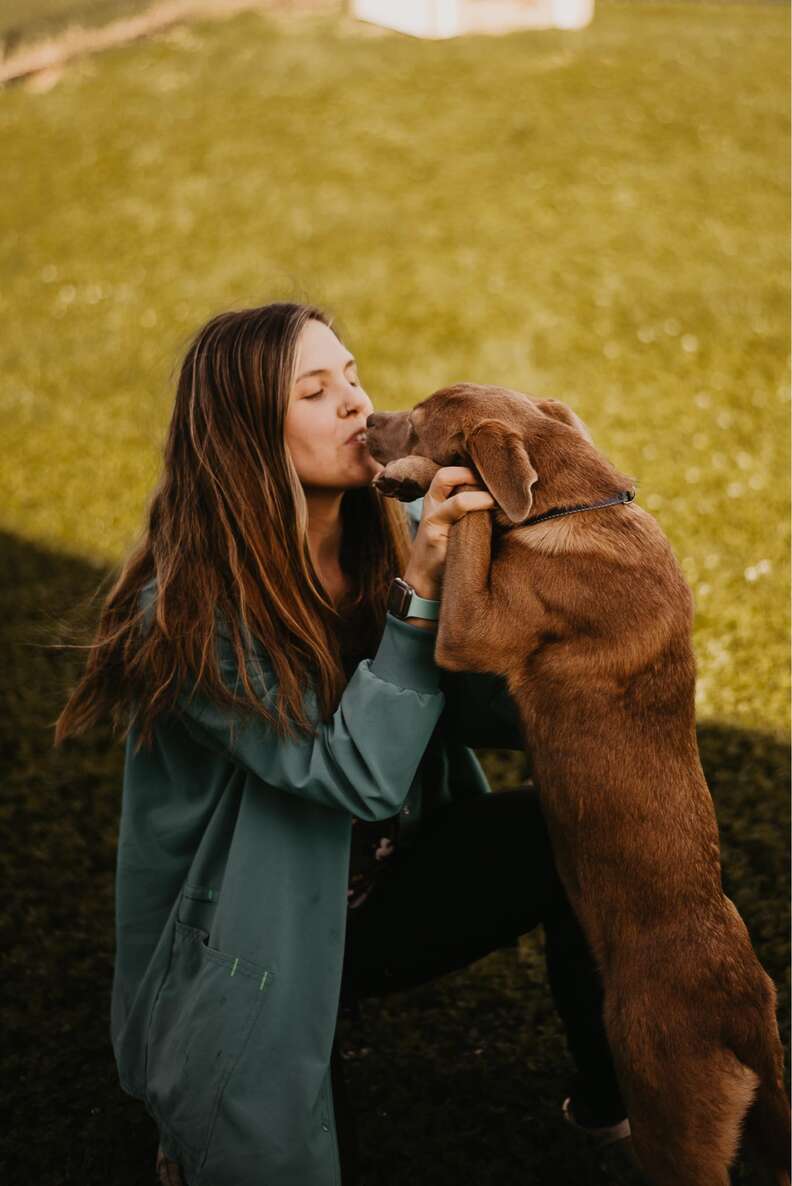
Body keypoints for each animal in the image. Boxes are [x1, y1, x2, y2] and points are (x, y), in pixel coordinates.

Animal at [365, 384, 792, 1186]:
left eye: (421, 415)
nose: (369, 418)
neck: (576, 506)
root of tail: (745, 1006)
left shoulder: (469, 630)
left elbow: (468, 508)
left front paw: (417, 479)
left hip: (671, 1124)